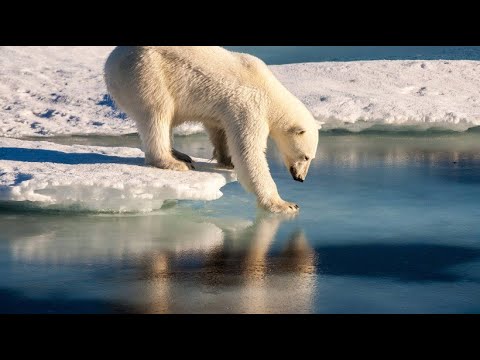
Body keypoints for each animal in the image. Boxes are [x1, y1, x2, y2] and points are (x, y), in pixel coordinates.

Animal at [104, 46, 318, 212]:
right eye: (306, 157)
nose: (300, 178)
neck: (270, 92)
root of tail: (110, 62)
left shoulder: (224, 110)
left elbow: (218, 129)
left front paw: (227, 160)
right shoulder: (250, 107)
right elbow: (249, 154)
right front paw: (284, 204)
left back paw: (180, 154)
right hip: (147, 74)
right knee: (157, 113)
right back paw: (173, 162)